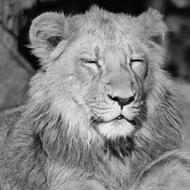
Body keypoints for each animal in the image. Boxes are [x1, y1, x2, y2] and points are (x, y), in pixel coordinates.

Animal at [0, 5, 190, 189]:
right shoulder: (70, 177)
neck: (117, 152)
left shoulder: (166, 164)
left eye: (135, 61)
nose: (123, 99)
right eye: (91, 62)